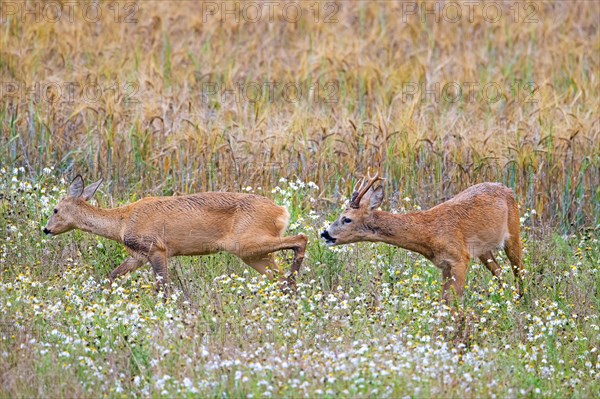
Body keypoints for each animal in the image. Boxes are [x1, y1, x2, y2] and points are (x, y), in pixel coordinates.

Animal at [44, 177, 308, 296]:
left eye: (55, 210)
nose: (46, 229)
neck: (122, 221)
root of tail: (281, 211)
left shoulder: (156, 248)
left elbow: (163, 286)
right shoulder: (138, 255)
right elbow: (112, 275)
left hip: (246, 243)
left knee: (301, 238)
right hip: (254, 254)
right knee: (279, 276)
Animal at [322, 173, 524, 304]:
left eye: (347, 219)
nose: (324, 234)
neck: (429, 233)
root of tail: (508, 189)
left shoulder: (460, 259)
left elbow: (455, 300)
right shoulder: (445, 264)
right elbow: (445, 300)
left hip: (514, 233)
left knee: (519, 270)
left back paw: (521, 300)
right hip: (484, 250)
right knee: (499, 271)